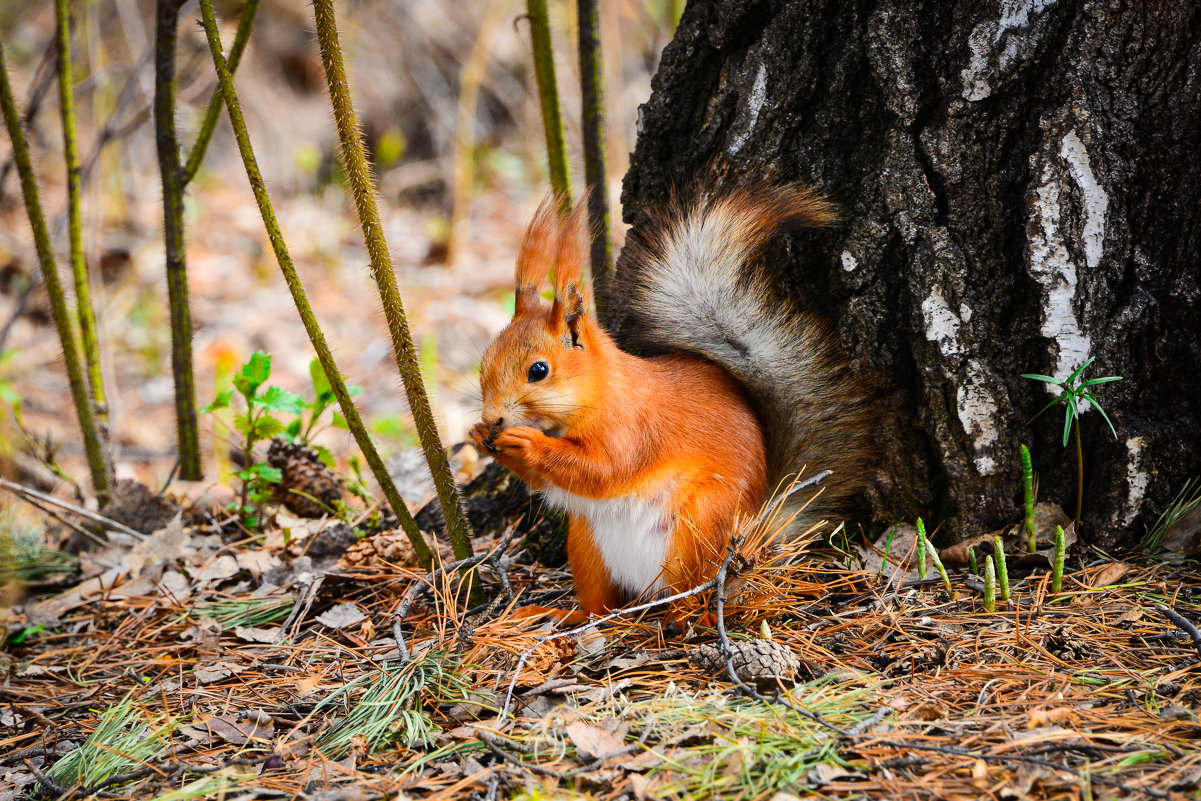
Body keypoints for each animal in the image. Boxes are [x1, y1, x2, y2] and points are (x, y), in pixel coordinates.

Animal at [468, 184, 874, 624]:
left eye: (538, 370)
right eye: (484, 361)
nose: (492, 416)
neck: (597, 394)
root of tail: (750, 540)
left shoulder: (632, 427)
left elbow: (604, 470)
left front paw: (526, 442)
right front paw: (479, 435)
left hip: (698, 527)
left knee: (689, 593)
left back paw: (684, 617)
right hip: (587, 545)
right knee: (602, 604)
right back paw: (564, 614)